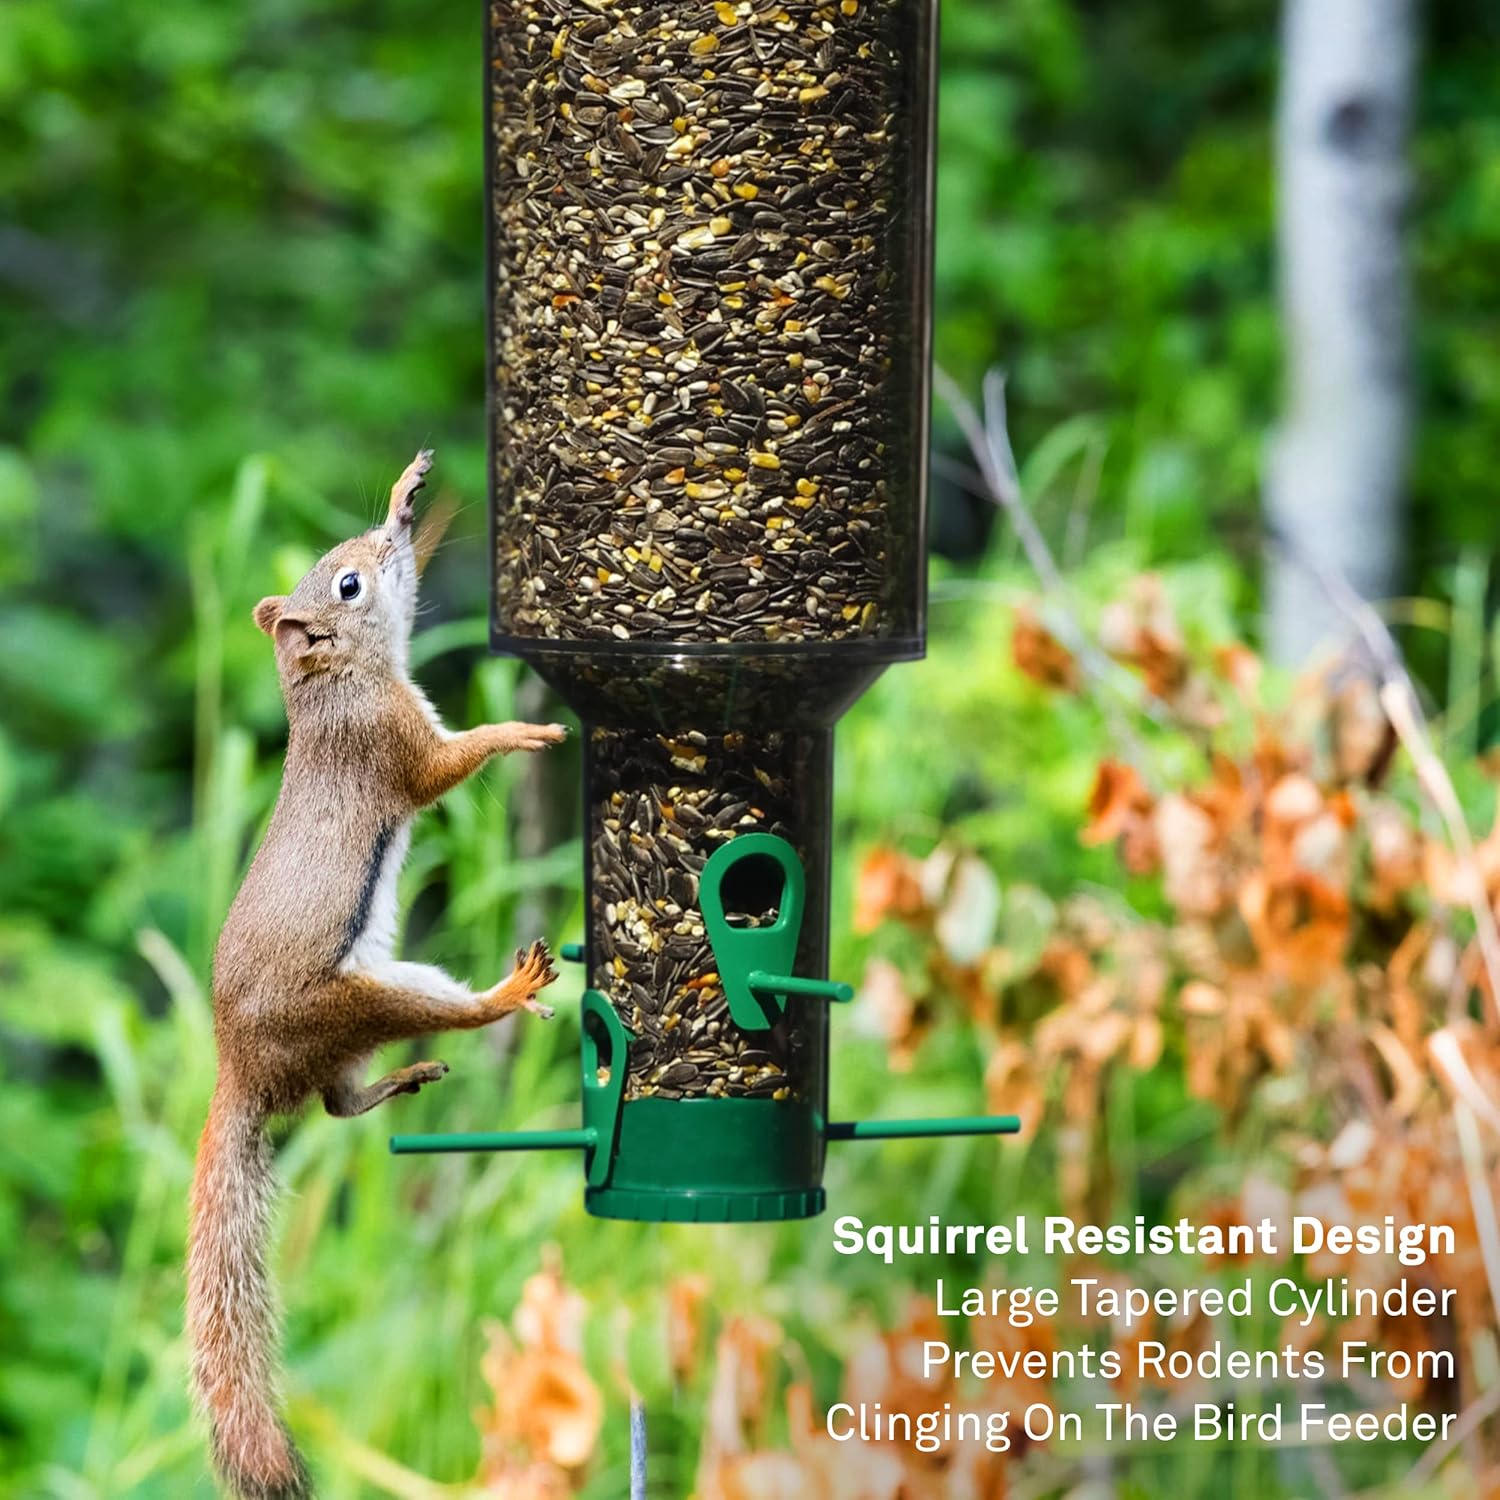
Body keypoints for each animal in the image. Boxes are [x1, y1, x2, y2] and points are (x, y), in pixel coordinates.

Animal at [187, 450, 566, 1500]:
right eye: (350, 586)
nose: (390, 543)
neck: (334, 686)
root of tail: (239, 1068)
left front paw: (408, 491)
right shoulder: (393, 744)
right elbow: (445, 768)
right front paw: (521, 733)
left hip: (357, 1025)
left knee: (336, 1103)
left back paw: (408, 1076)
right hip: (372, 996)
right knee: (404, 1050)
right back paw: (507, 996)